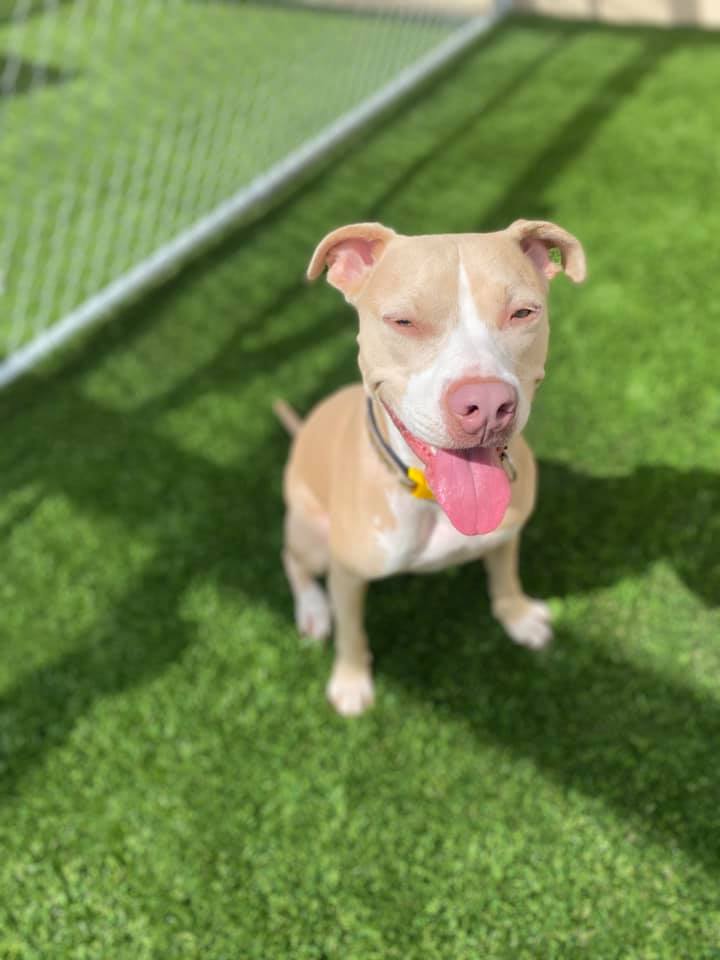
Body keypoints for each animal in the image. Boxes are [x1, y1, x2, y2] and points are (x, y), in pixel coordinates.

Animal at [276, 220, 586, 715]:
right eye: (403, 321)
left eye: (523, 313)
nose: (486, 404)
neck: (430, 497)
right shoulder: (347, 573)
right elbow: (351, 631)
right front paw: (350, 681)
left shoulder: (507, 535)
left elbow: (505, 576)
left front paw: (518, 616)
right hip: (312, 534)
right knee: (293, 560)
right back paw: (312, 610)